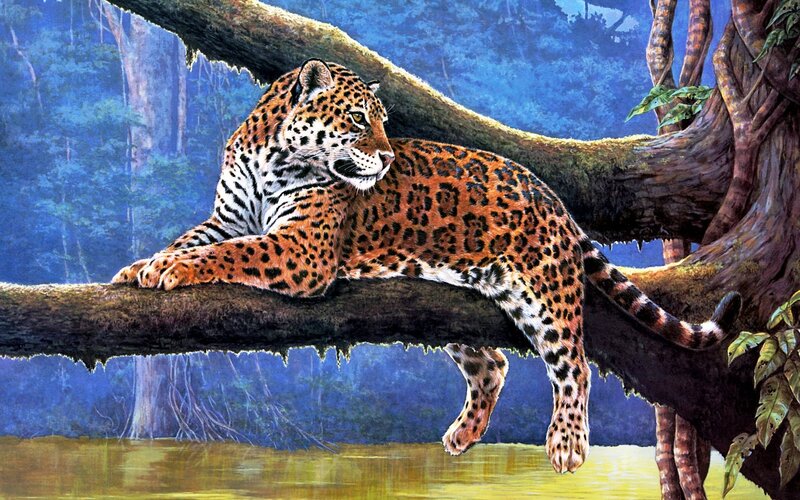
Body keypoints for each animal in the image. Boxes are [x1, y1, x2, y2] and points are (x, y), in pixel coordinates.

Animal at [113, 59, 741, 473]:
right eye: (357, 119)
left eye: (384, 121)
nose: (388, 156)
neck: (273, 157)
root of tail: (549, 193)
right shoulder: (228, 217)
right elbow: (196, 239)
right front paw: (141, 265)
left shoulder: (301, 248)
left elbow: (230, 252)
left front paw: (168, 271)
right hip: (455, 301)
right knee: (493, 364)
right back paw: (462, 436)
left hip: (546, 293)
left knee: (574, 365)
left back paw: (565, 444)